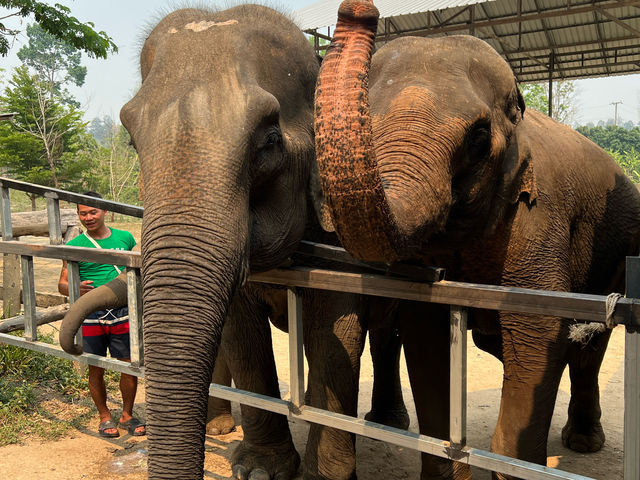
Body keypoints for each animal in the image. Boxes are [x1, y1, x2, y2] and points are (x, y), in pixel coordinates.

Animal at [61, 3, 410, 480]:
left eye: (270, 141)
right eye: (132, 142)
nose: (75, 343)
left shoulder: (340, 243)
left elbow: (335, 332)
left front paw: (323, 473)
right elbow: (242, 332)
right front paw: (261, 469)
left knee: (387, 333)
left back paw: (387, 422)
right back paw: (221, 426)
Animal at [314, 0, 640, 480]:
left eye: (479, 138)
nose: (360, 10)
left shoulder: (539, 217)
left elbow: (536, 325)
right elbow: (425, 328)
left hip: (619, 252)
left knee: (589, 343)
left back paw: (582, 442)